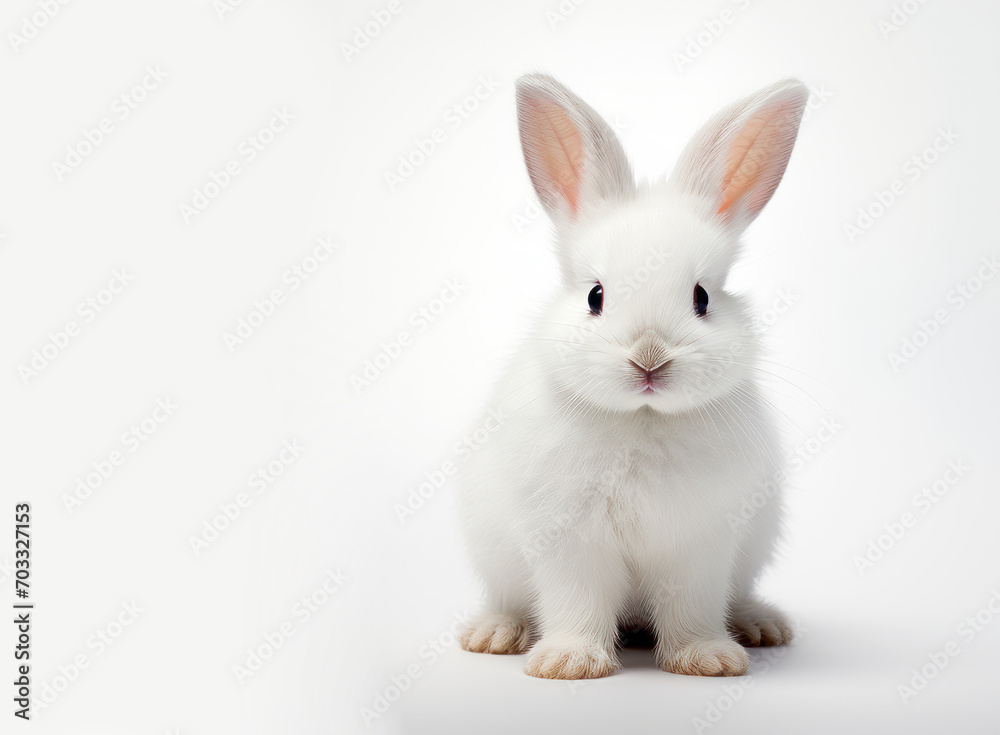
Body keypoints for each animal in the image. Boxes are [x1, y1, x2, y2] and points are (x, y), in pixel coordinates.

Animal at [457, 73, 807, 679]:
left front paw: (709, 659)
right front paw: (568, 662)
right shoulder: (569, 542)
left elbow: (693, 607)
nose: (649, 358)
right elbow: (576, 601)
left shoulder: (699, 546)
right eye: (595, 296)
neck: (642, 420)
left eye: (702, 298)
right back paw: (494, 634)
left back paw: (762, 626)